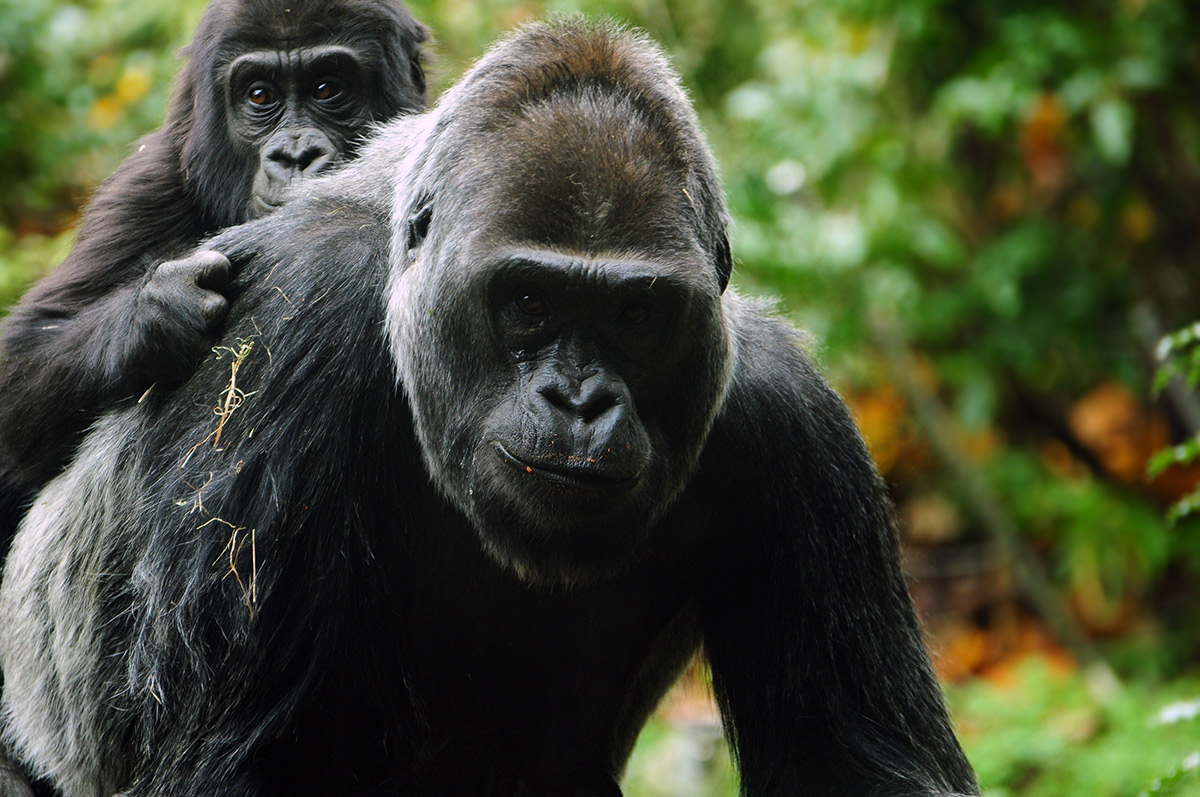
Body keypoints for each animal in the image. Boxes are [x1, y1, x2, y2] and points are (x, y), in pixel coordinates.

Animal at [0, 0, 429, 532]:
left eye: (328, 88)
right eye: (260, 95)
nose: (295, 154)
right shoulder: (151, 181)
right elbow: (24, 359)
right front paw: (159, 310)